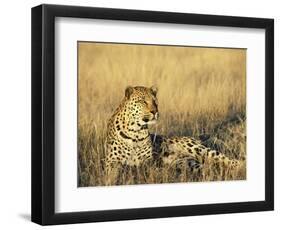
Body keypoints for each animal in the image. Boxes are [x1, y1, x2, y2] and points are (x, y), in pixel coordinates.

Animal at [104, 86, 241, 185]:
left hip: (199, 150)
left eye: (155, 102)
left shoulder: (147, 161)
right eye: (143, 102)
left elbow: (143, 169)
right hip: (188, 163)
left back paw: (240, 166)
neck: (136, 131)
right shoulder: (111, 162)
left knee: (226, 159)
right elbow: (115, 173)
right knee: (208, 168)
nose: (155, 112)